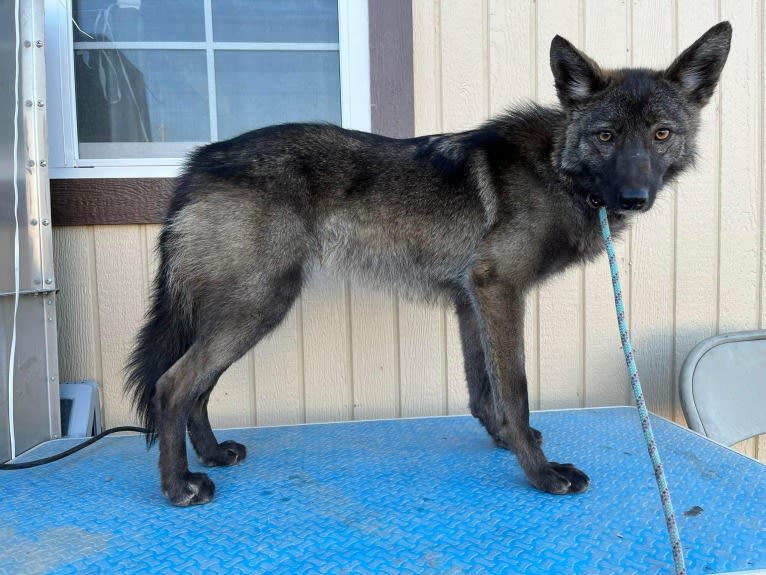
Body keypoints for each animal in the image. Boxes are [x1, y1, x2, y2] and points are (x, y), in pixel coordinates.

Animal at [126, 23, 732, 508]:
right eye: (606, 136)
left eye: (661, 134)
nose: (635, 198)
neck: (557, 167)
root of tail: (199, 162)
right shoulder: (498, 291)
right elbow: (515, 388)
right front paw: (541, 474)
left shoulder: (472, 300)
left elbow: (483, 388)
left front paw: (509, 440)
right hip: (258, 305)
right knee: (173, 384)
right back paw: (179, 486)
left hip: (246, 310)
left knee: (197, 386)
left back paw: (210, 455)